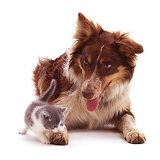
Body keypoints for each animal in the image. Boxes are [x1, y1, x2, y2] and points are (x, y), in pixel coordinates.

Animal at [33, 12, 146, 145]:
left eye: (107, 65)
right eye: (86, 62)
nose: (86, 94)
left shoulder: (122, 108)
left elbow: (128, 118)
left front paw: (135, 132)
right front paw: (59, 133)